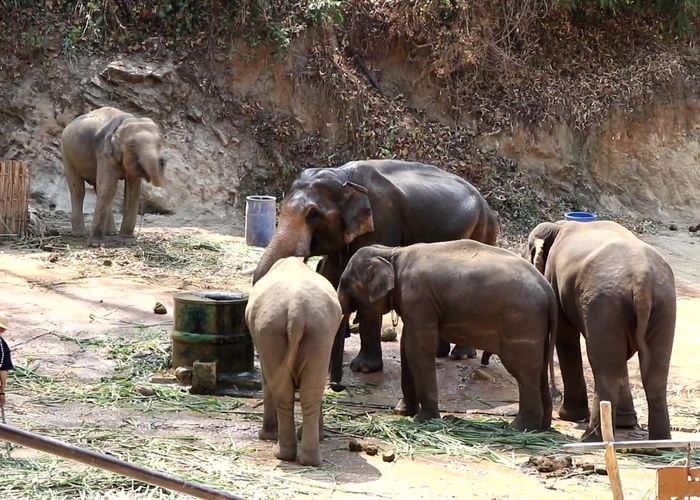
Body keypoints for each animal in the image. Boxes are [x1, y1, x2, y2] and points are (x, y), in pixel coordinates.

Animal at [60, 106, 167, 247]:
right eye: (132, 145)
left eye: (159, 144)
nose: (163, 161)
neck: (126, 121)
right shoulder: (104, 152)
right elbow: (109, 187)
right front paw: (97, 244)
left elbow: (133, 191)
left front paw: (128, 241)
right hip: (66, 154)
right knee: (78, 190)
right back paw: (79, 234)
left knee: (97, 188)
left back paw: (111, 233)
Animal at [245, 256, 344, 466]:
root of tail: (295, 312)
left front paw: (266, 436)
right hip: (318, 332)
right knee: (311, 391)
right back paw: (309, 459)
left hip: (270, 331)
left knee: (283, 391)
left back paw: (281, 453)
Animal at [252, 160, 498, 386]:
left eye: (314, 214)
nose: (335, 384)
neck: (344, 176)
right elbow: (332, 274)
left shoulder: (381, 219)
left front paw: (363, 369)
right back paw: (440, 353)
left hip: (483, 230)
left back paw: (461, 355)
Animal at [338, 240, 556, 432]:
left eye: (346, 285)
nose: (338, 388)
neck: (391, 253)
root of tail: (548, 289)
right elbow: (407, 347)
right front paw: (403, 412)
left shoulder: (417, 298)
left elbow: (417, 348)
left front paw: (423, 420)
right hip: (537, 326)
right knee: (539, 369)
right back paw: (542, 427)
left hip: (522, 323)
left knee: (523, 371)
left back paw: (519, 428)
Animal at [528, 221, 676, 440]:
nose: (557, 397)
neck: (559, 226)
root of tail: (641, 280)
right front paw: (625, 422)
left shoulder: (554, 277)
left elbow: (565, 335)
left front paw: (569, 416)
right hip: (664, 304)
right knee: (654, 374)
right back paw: (659, 443)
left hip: (603, 301)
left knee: (606, 370)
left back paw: (590, 438)